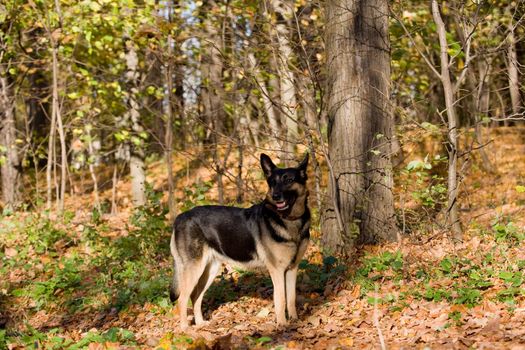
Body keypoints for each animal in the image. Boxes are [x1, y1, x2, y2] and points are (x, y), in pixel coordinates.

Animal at [168, 153, 310, 328]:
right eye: (273, 183)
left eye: (289, 180)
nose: (276, 196)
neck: (290, 219)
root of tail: (179, 218)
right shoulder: (277, 270)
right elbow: (281, 299)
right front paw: (283, 325)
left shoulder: (292, 269)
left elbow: (291, 298)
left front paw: (295, 321)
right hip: (194, 269)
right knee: (182, 298)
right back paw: (185, 328)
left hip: (210, 270)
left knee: (196, 296)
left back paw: (200, 324)